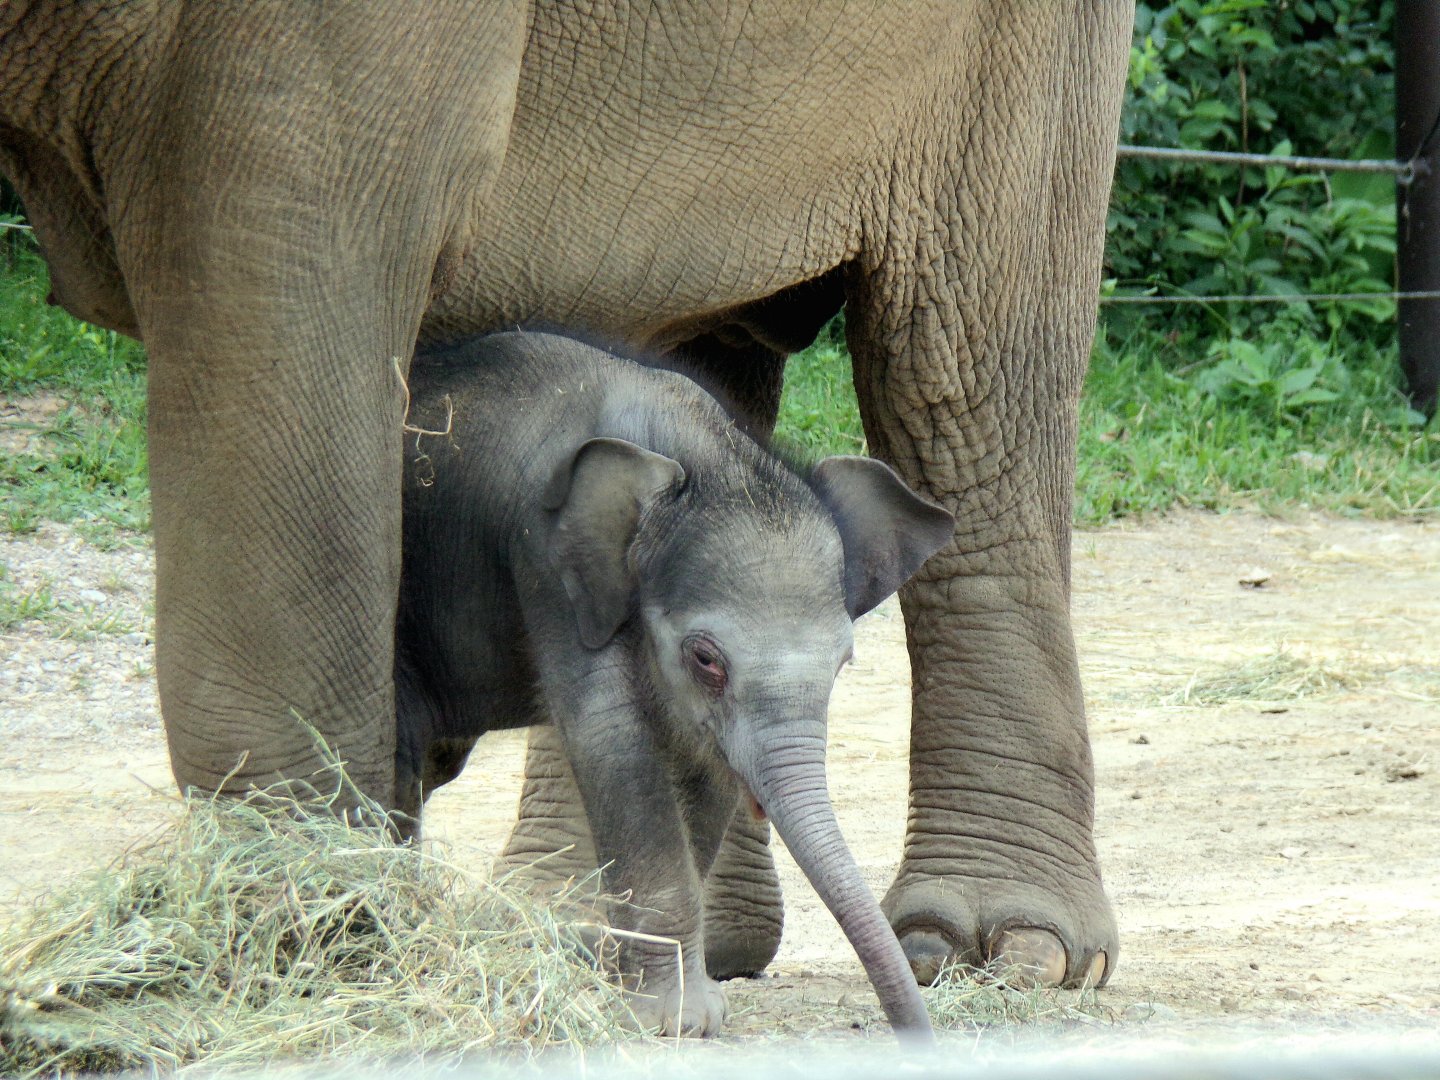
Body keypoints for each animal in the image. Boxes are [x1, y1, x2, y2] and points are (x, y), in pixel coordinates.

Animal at [395, 330, 950, 1038]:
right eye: (706, 659)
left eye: (844, 662)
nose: (919, 1033)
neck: (698, 452)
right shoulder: (549, 564)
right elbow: (613, 739)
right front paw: (677, 1021)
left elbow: (702, 763)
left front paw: (686, 1003)